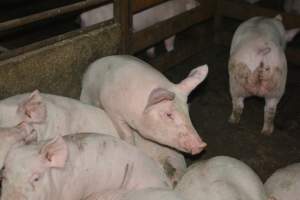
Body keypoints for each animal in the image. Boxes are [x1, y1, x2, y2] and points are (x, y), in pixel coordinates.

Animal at [79, 54, 209, 155]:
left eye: (187, 112)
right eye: (168, 115)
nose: (202, 145)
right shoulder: (111, 107)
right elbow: (126, 133)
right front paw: (131, 145)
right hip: (86, 94)